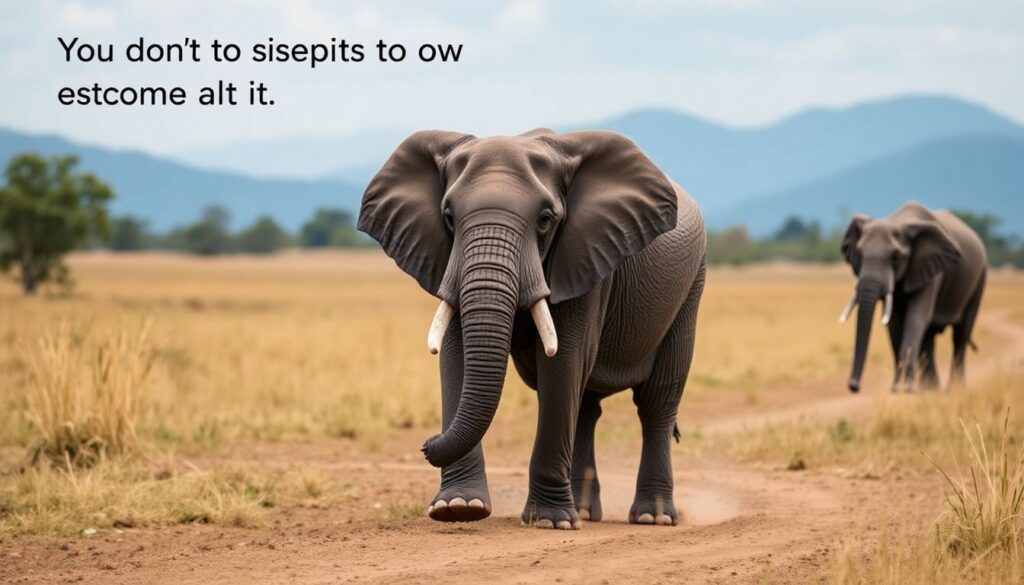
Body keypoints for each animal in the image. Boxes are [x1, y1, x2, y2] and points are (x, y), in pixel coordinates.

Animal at [358, 128, 706, 530]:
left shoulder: (585, 256)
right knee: (586, 407)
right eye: (448, 217)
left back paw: (653, 517)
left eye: (545, 219)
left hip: (691, 288)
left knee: (656, 403)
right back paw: (584, 512)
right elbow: (456, 356)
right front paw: (458, 507)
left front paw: (550, 522)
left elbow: (564, 361)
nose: (426, 443)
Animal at [839, 202, 986, 393]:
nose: (854, 386)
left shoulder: (932, 268)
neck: (899, 221)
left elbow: (915, 317)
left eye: (895, 256)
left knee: (961, 335)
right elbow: (894, 324)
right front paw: (897, 388)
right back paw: (930, 388)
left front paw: (906, 388)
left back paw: (955, 388)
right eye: (860, 253)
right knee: (928, 338)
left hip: (980, 277)